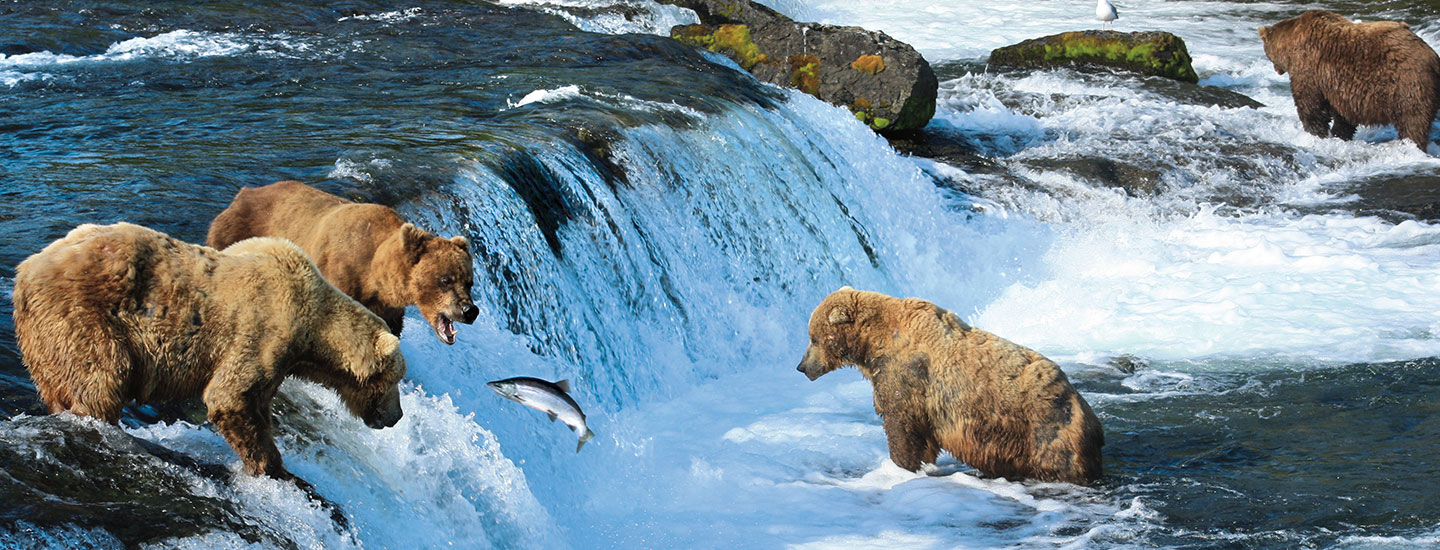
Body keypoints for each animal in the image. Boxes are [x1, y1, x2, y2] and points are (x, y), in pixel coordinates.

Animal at [15, 221, 411, 478]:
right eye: (395, 379)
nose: (397, 416)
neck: (313, 330)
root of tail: (23, 272)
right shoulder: (263, 331)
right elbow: (231, 397)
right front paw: (272, 465)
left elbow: (257, 402)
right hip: (83, 317)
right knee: (102, 378)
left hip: (41, 339)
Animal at [207, 180, 478, 344]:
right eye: (445, 279)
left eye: (469, 282)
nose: (469, 310)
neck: (374, 273)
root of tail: (243, 192)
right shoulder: (340, 275)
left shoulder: (386, 307)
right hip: (233, 234)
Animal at [800, 287, 1100, 486]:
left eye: (813, 338)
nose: (802, 366)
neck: (873, 344)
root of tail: (1083, 407)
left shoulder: (906, 376)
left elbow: (901, 427)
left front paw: (899, 467)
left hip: (1042, 431)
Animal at [1261, 10, 1440, 151]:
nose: (1276, 69)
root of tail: (1432, 55)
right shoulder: (1338, 87)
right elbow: (1342, 115)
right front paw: (1338, 135)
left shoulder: (1309, 69)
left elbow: (1311, 105)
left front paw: (1316, 134)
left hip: (1407, 84)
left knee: (1413, 120)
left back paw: (1412, 144)